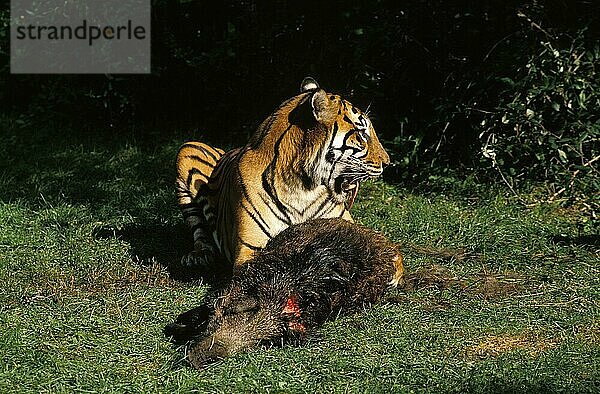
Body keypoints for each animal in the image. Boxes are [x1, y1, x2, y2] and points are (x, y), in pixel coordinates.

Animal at [175, 78, 390, 272]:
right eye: (362, 133)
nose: (387, 163)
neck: (304, 188)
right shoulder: (249, 250)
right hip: (186, 149)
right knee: (198, 228)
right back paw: (199, 256)